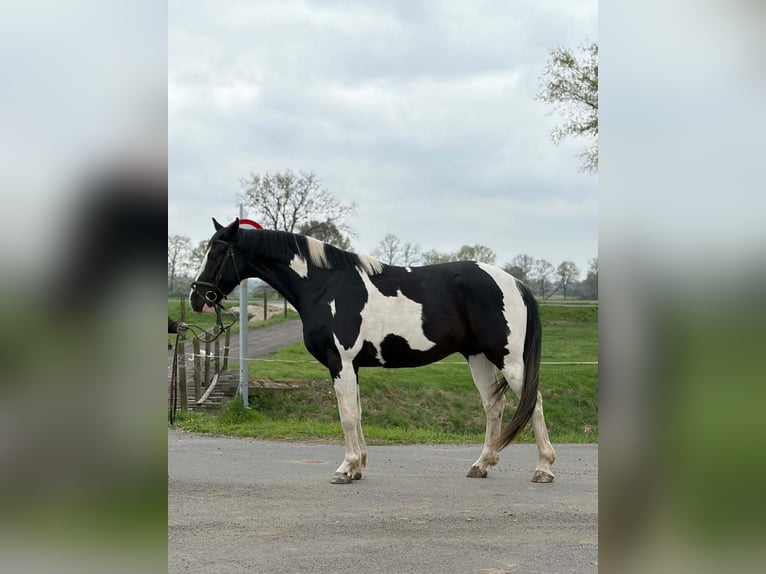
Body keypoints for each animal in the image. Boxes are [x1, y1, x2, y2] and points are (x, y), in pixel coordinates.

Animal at [190, 218, 556, 485]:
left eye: (217, 254)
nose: (197, 298)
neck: (326, 286)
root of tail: (516, 283)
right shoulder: (352, 366)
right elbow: (357, 413)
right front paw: (357, 467)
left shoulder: (340, 362)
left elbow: (347, 415)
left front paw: (346, 469)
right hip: (479, 358)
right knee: (494, 406)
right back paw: (481, 465)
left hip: (508, 359)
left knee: (533, 402)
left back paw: (543, 469)